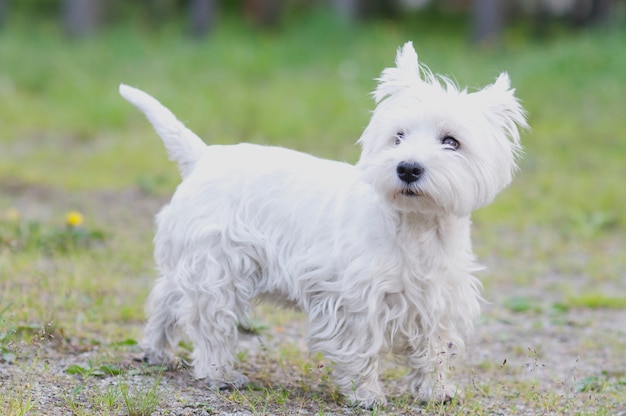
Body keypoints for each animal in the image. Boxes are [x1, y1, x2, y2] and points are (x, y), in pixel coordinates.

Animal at [119, 43, 524, 410]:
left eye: (451, 141)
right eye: (398, 136)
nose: (407, 168)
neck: (417, 226)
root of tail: (203, 156)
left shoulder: (438, 299)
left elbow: (434, 347)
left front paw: (436, 391)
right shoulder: (357, 300)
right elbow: (362, 348)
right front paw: (367, 395)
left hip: (191, 263)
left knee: (165, 299)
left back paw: (156, 352)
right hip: (217, 268)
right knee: (208, 322)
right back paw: (221, 374)